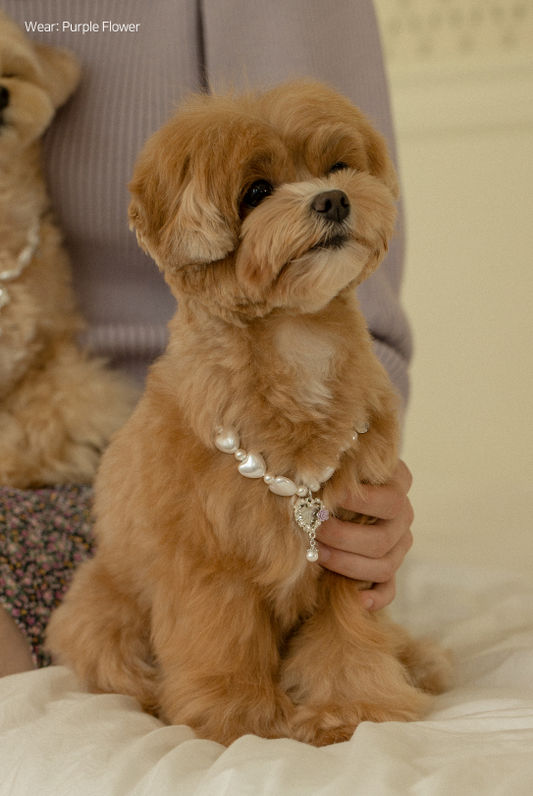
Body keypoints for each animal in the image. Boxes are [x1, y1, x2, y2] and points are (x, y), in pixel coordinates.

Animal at [48, 81, 448, 748]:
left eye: (337, 166)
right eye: (256, 192)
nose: (334, 197)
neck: (297, 344)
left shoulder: (351, 548)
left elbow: (348, 636)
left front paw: (353, 708)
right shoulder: (205, 561)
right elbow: (222, 640)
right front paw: (242, 717)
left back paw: (416, 661)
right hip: (100, 611)